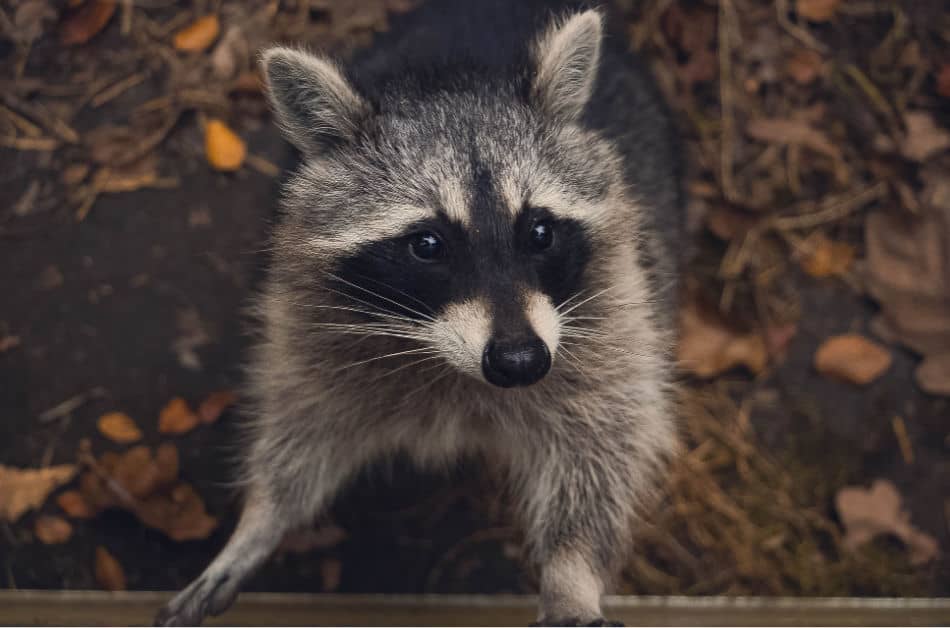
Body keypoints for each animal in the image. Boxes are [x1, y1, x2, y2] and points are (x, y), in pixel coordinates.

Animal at [160, 2, 688, 624]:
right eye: (428, 244)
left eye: (540, 232)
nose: (520, 361)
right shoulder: (308, 316)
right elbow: (301, 421)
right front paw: (261, 519)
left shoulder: (612, 310)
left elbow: (603, 442)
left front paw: (571, 572)